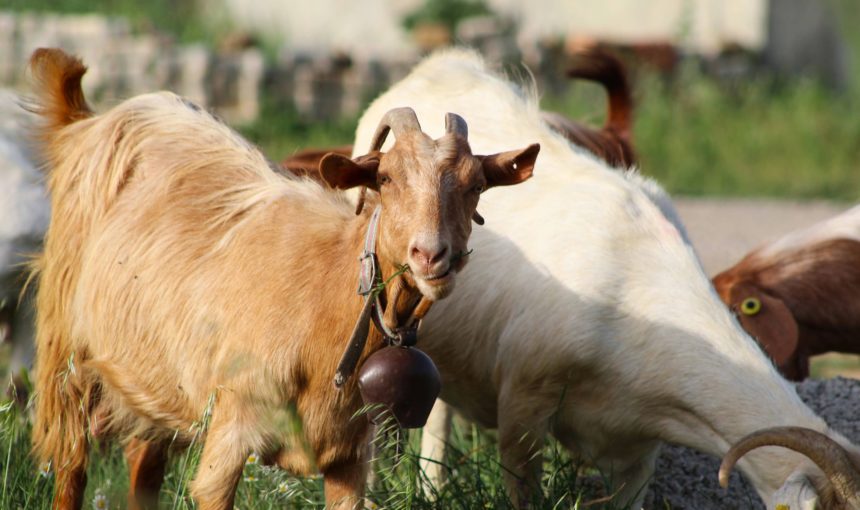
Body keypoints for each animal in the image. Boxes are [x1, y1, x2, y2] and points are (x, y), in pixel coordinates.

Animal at [28, 48, 536, 510]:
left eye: (476, 185)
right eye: (386, 179)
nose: (430, 255)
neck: (325, 298)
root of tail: (86, 121)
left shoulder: (349, 458)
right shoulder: (230, 434)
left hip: (151, 377)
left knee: (143, 464)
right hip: (65, 351)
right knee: (71, 466)